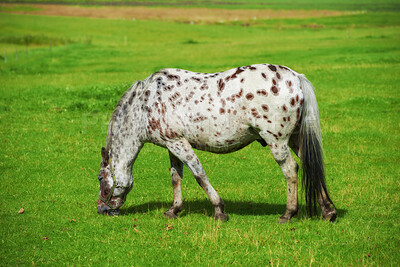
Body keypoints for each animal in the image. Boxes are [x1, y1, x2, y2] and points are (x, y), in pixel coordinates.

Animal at [97, 63, 338, 224]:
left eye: (100, 178)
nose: (102, 209)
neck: (146, 104)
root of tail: (296, 78)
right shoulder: (173, 145)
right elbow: (176, 177)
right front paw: (174, 210)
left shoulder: (179, 144)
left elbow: (199, 175)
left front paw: (219, 210)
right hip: (296, 139)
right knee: (309, 165)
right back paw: (328, 211)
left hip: (277, 141)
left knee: (290, 170)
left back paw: (288, 214)